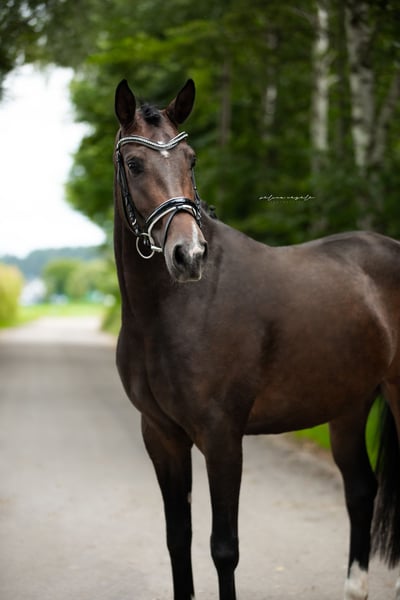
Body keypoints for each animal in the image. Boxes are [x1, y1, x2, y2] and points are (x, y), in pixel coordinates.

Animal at [113, 77, 400, 600]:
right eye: (135, 163)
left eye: (190, 159)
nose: (189, 255)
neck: (171, 311)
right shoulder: (161, 435)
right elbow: (177, 537)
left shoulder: (222, 436)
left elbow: (223, 548)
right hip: (349, 404)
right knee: (361, 489)